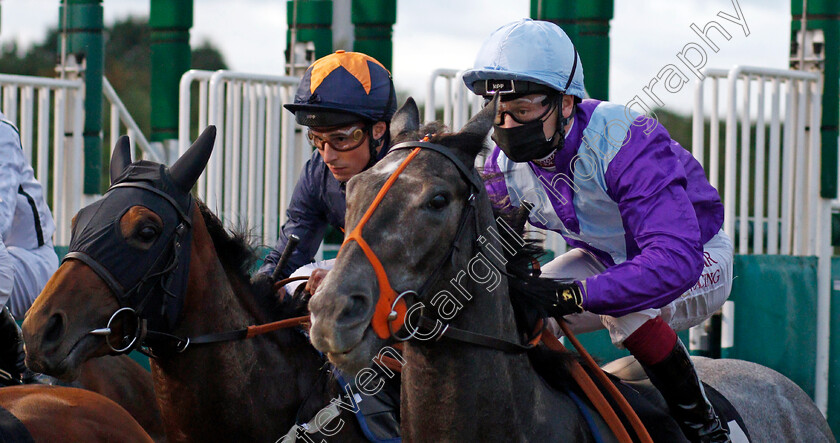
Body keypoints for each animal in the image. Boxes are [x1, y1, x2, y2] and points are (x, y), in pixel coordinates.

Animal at [306, 99, 832, 442]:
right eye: (352, 189)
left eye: (437, 200)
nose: (331, 311)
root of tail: (796, 396)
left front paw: (540, 297)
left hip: (705, 278)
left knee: (636, 318)